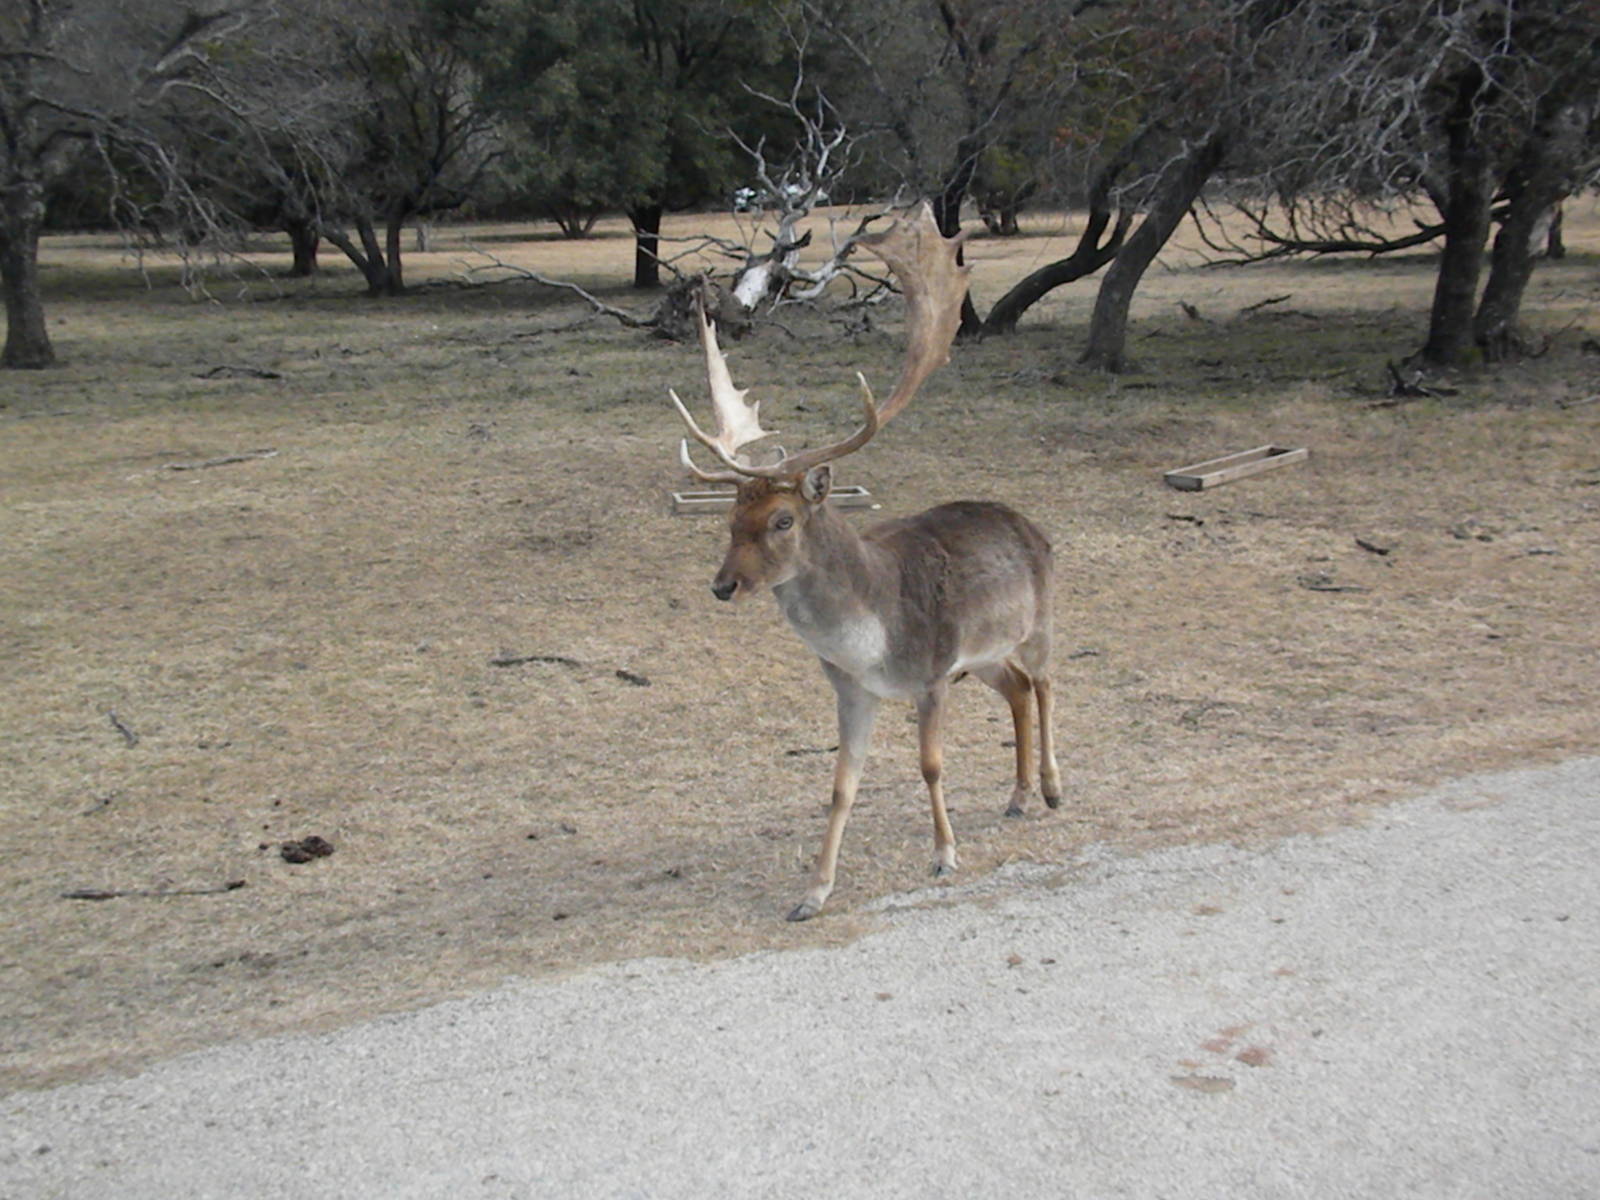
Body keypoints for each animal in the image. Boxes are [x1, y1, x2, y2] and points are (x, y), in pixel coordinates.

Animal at [669, 202, 1061, 921]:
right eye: (729, 517)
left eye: (783, 519)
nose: (723, 585)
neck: (870, 638)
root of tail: (1031, 524)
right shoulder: (852, 688)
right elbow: (840, 785)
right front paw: (813, 892)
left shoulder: (933, 673)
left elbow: (930, 765)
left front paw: (944, 855)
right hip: (985, 656)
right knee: (1019, 690)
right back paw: (1018, 797)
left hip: (1038, 620)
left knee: (1046, 684)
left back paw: (1050, 788)